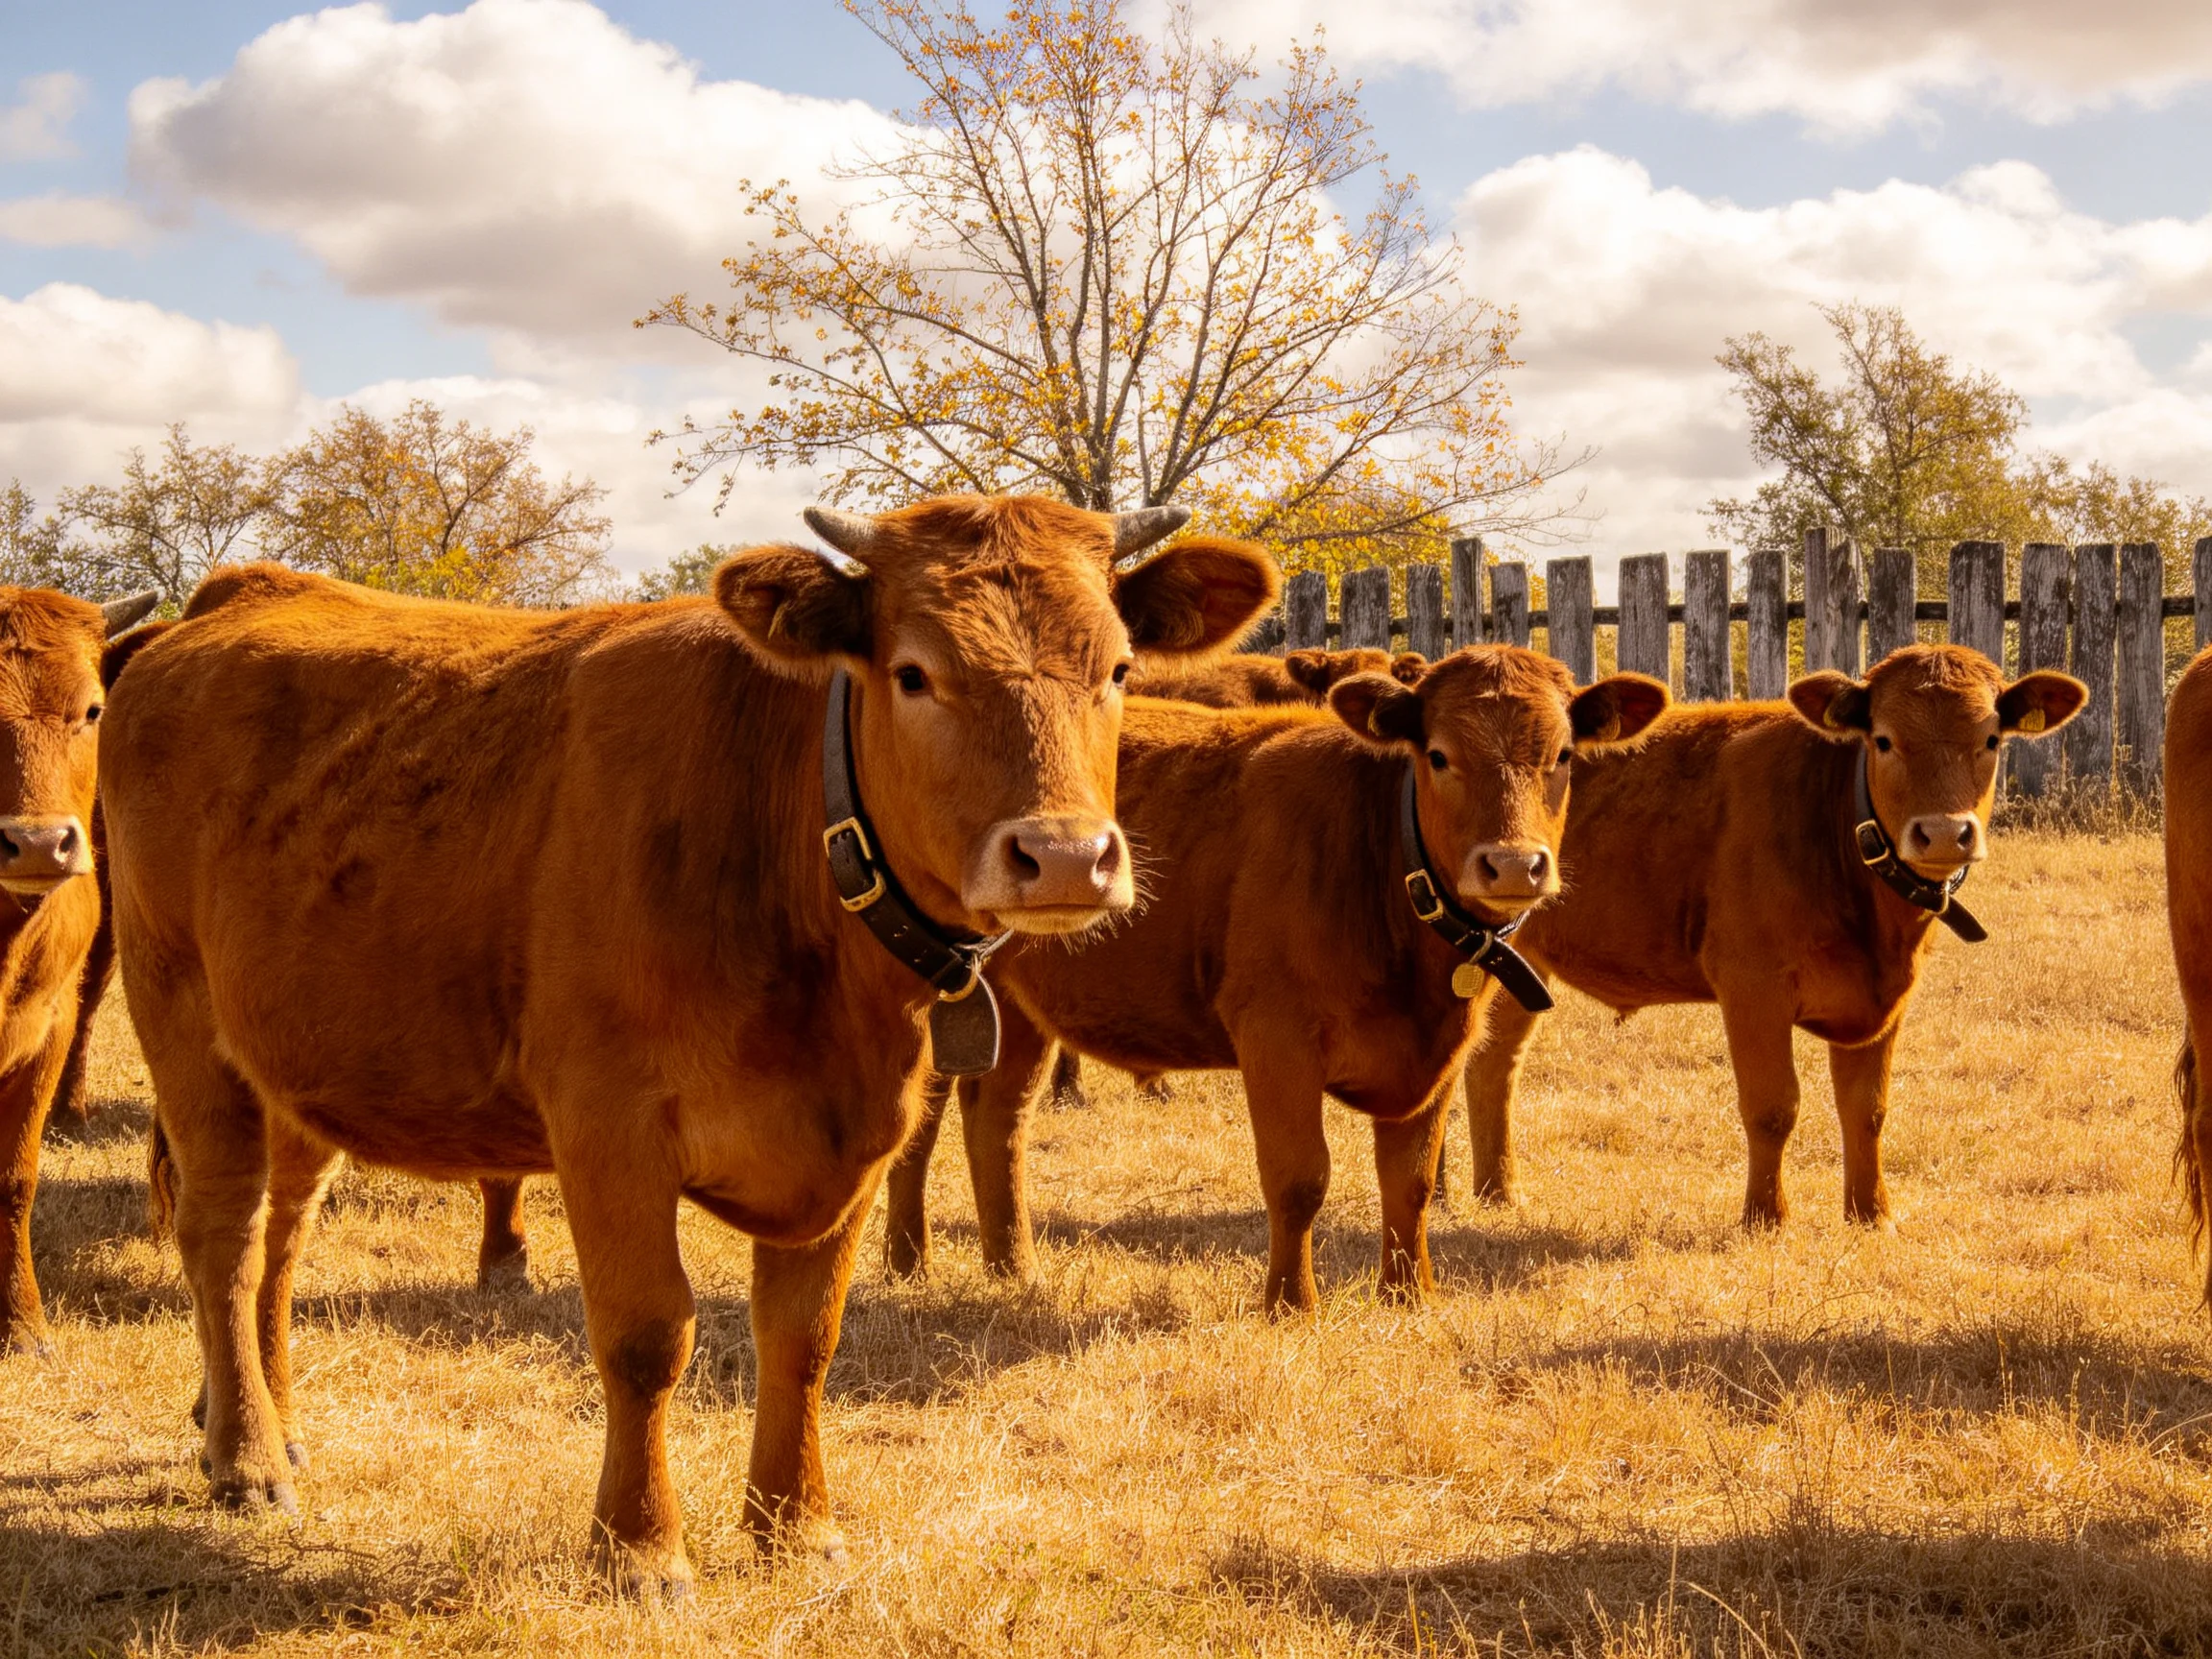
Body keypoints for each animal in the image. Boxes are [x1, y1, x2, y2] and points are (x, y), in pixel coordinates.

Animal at [99, 495, 1276, 1597]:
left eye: (1118, 667)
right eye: (913, 674)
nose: (1066, 857)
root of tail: (232, 600)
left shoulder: (855, 1142)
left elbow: (804, 1339)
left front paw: (794, 1530)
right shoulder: (607, 1127)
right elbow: (646, 1337)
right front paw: (638, 1551)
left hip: (295, 1058)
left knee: (281, 1232)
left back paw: (264, 1418)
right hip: (182, 1018)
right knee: (221, 1231)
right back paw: (246, 1459)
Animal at [882, 647, 1668, 1310]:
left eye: (1562, 755)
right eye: (1439, 755)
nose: (1512, 865)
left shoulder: (1440, 1050)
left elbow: (1411, 1180)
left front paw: (1409, 1297)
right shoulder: (1275, 1036)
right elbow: (1299, 1178)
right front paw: (1292, 1305)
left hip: (1013, 1007)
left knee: (996, 1117)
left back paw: (1012, 1268)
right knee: (920, 1124)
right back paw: (907, 1263)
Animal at [1461, 644, 2084, 1229]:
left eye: (1991, 739)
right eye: (1883, 740)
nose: (1944, 833)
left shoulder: (1885, 1000)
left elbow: (1868, 1109)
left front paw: (1872, 1214)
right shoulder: (1752, 986)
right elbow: (1772, 1107)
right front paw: (1767, 1217)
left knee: (1491, 1066)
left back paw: (1496, 1194)